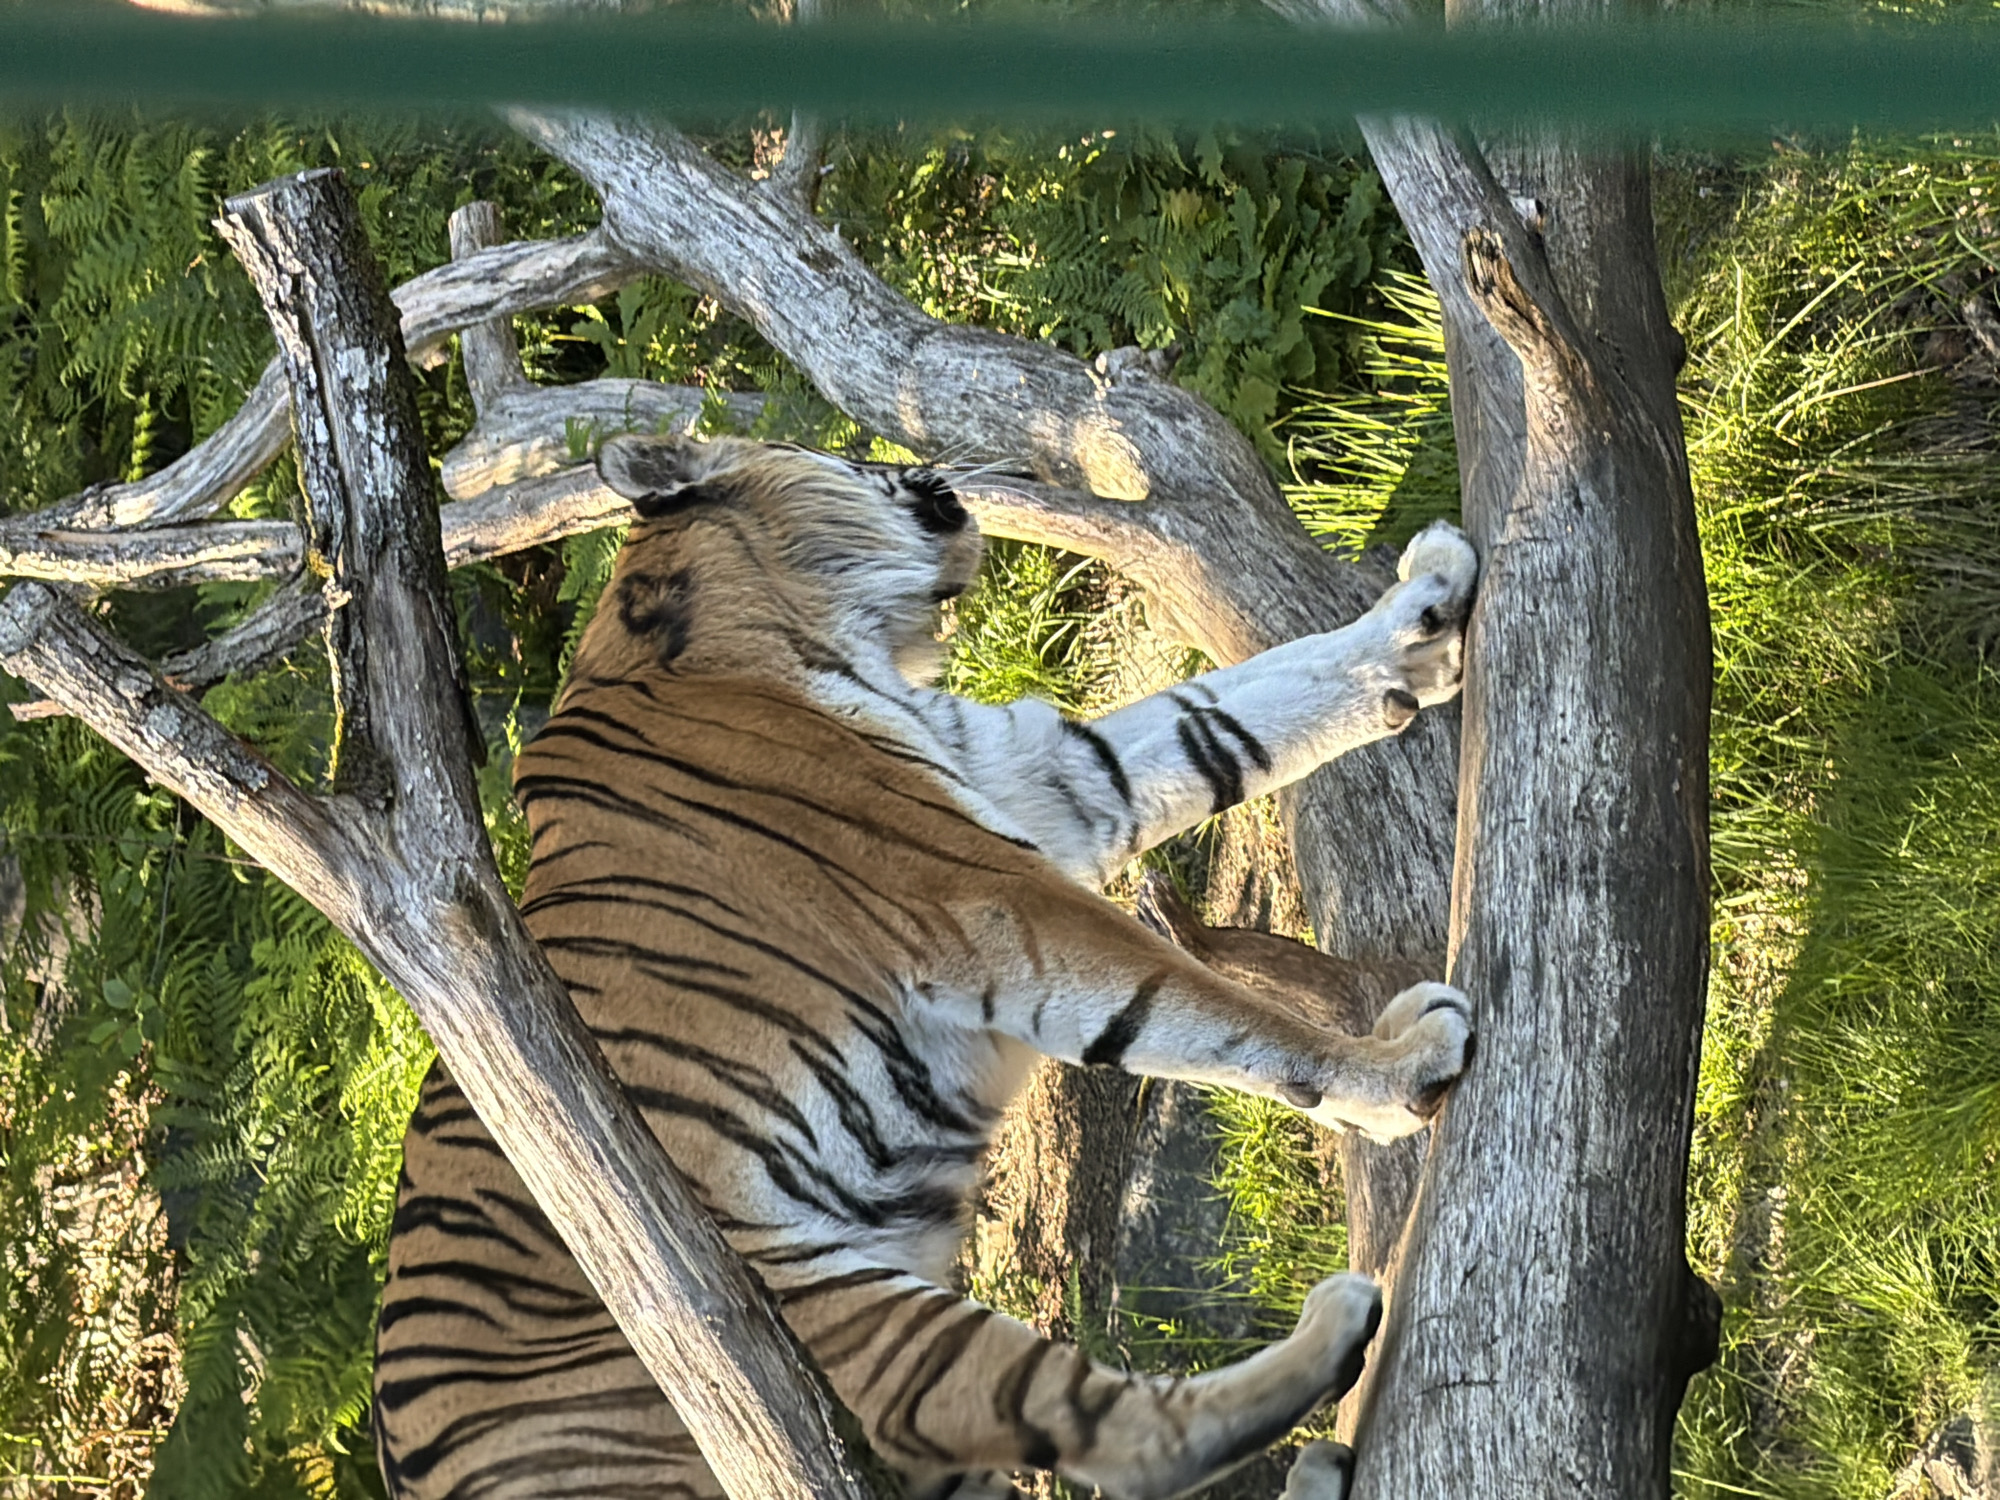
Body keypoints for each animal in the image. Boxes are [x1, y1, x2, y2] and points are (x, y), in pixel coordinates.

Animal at [373, 433, 1480, 1500]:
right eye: (849, 459)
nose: (924, 470)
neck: (813, 632)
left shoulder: (1045, 778)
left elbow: (1235, 707)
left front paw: (1423, 612)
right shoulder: (987, 890)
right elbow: (1204, 1007)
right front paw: (1397, 1067)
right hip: (835, 1318)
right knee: (1119, 1437)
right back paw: (1335, 1330)